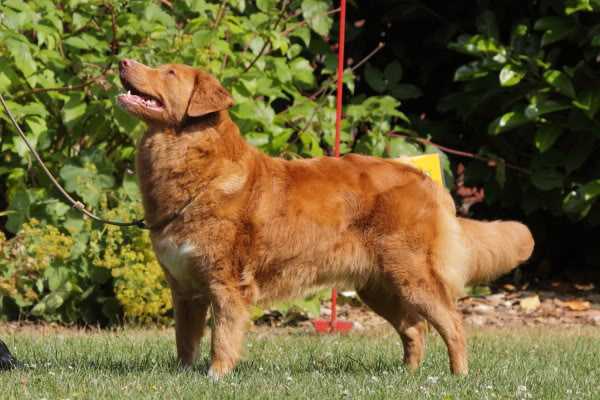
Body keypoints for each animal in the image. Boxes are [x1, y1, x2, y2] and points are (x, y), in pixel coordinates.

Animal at [117, 59, 536, 378]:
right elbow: (185, 341)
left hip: (413, 274)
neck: (196, 167)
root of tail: (426, 179)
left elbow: (222, 336)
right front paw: (184, 375)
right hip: (379, 285)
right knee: (415, 328)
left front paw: (216, 376)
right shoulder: (184, 287)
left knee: (453, 323)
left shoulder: (226, 284)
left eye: (169, 72)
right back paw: (409, 376)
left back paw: (457, 376)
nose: (123, 61)